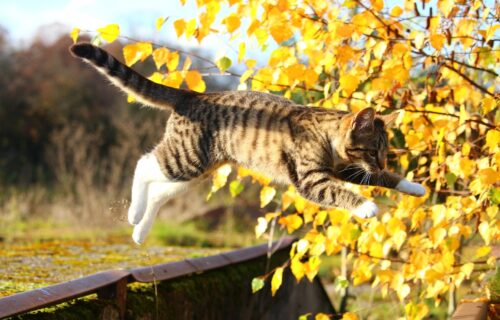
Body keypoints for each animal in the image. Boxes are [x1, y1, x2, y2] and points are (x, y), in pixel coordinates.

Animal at [68, 42, 424, 242]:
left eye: (385, 152)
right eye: (373, 150)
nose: (381, 160)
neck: (329, 137)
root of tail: (192, 95)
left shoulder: (344, 169)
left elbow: (381, 179)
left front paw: (414, 187)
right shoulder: (311, 178)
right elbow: (340, 192)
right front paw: (367, 206)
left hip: (197, 171)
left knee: (158, 192)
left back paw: (140, 232)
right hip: (186, 158)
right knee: (143, 164)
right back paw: (133, 214)